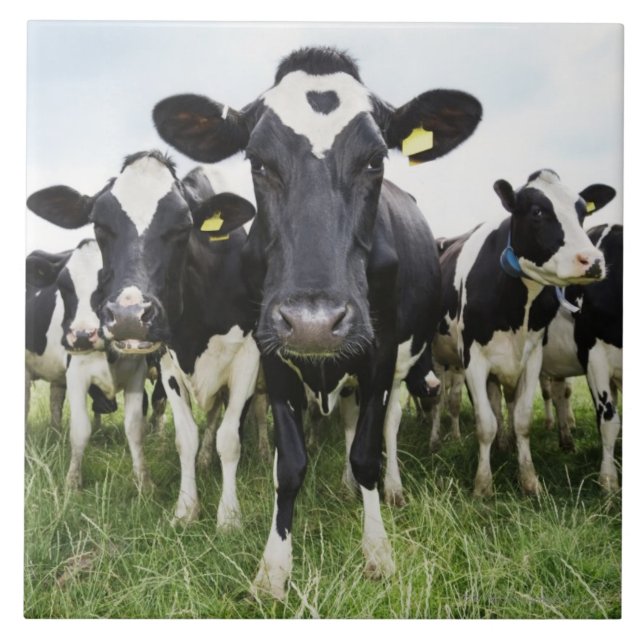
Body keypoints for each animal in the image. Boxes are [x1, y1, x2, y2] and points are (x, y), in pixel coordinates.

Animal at [27, 151, 259, 527]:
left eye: (183, 226)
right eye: (99, 225)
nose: (128, 317)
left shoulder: (248, 361)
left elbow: (230, 438)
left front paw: (228, 517)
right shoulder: (168, 364)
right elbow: (185, 438)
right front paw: (186, 509)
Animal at [152, 46, 483, 599]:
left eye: (375, 159)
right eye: (258, 161)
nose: (314, 323)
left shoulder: (379, 352)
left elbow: (367, 452)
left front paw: (378, 553)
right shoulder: (271, 352)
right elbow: (289, 464)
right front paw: (273, 569)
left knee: (386, 426)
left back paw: (389, 489)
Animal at [432, 169, 616, 497]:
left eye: (583, 212)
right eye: (537, 211)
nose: (593, 261)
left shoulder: (531, 358)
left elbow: (521, 419)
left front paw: (529, 480)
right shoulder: (473, 359)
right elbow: (485, 424)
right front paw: (483, 486)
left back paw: (505, 445)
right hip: (440, 359)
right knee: (440, 399)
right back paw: (436, 439)